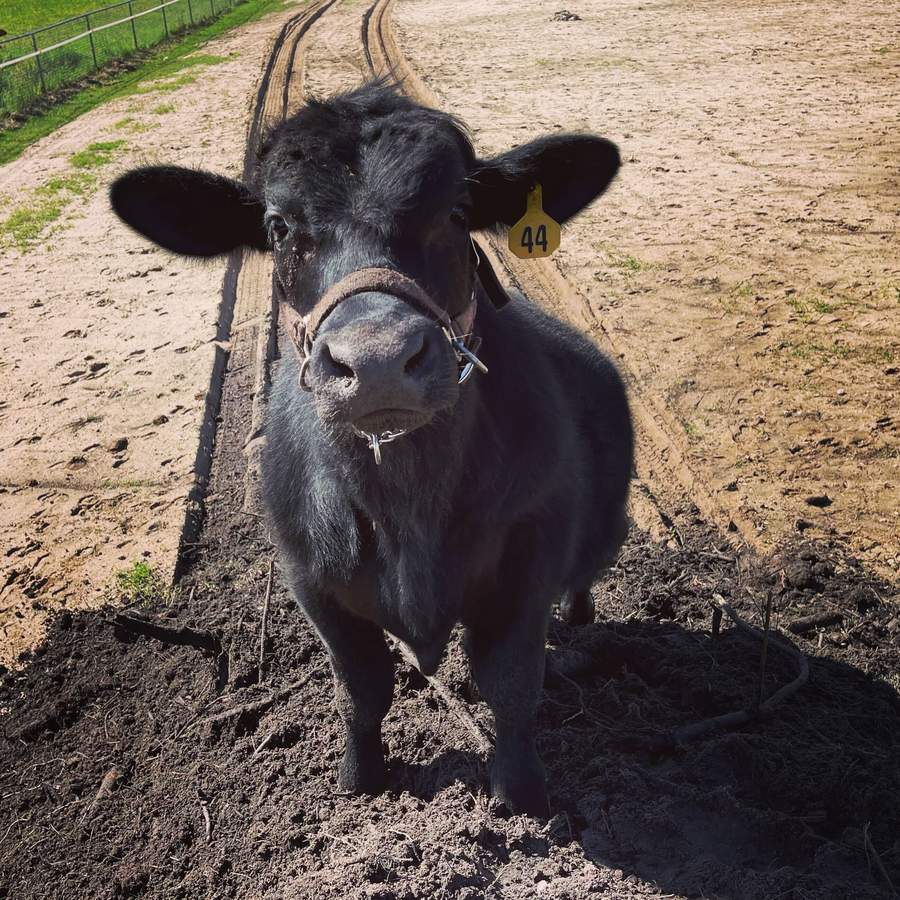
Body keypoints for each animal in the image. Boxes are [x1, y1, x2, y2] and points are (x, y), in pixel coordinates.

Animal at [110, 80, 633, 817]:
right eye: (278, 227)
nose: (379, 360)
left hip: (606, 526)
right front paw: (360, 776)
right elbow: (361, 689)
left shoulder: (528, 561)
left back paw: (578, 619)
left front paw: (520, 789)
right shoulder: (311, 579)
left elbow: (510, 682)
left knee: (584, 577)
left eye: (458, 210)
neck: (408, 510)